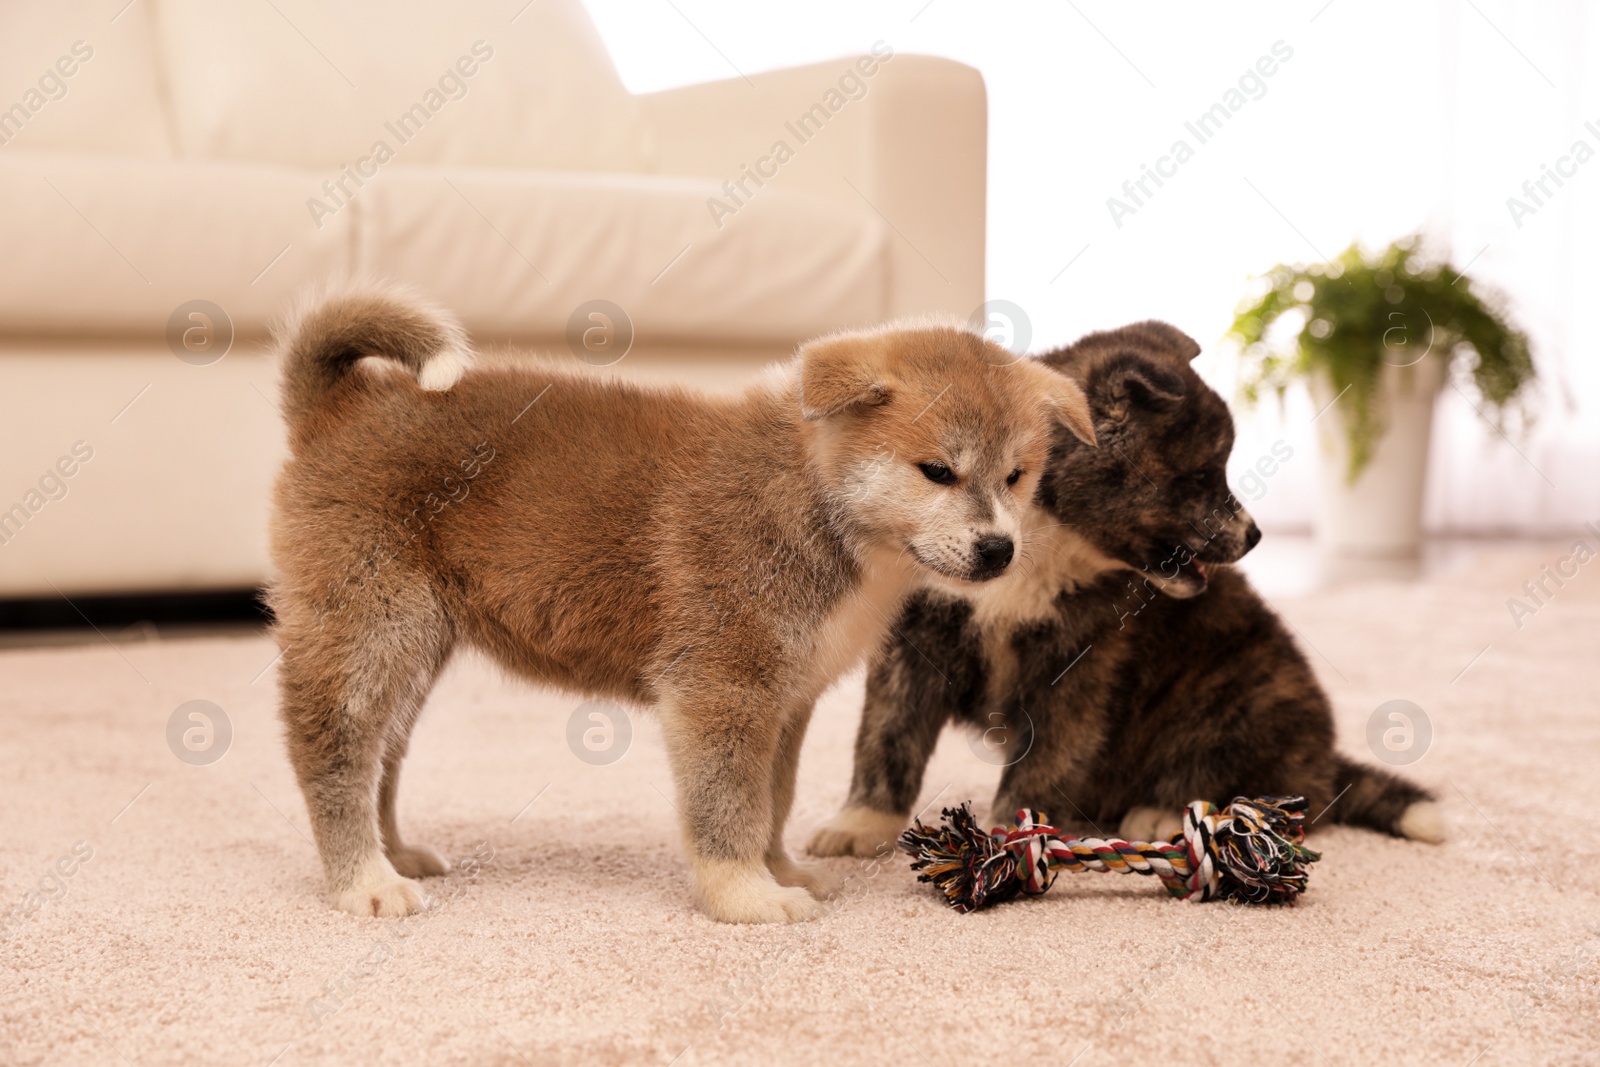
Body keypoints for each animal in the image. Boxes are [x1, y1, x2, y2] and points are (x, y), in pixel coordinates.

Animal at [272, 292, 1100, 927]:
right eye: (937, 471)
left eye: (1017, 475)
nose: (998, 549)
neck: (814, 499)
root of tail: (340, 409)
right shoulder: (722, 688)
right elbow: (728, 806)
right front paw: (746, 895)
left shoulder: (785, 699)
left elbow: (772, 798)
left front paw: (779, 870)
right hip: (371, 628)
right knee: (336, 754)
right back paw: (364, 879)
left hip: (413, 648)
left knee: (384, 755)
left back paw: (395, 853)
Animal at [806, 319, 1446, 857]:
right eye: (1201, 474)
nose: (1255, 536)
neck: (1043, 535)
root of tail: (1327, 761)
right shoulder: (914, 641)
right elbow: (886, 740)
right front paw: (861, 824)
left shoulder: (1081, 669)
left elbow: (1040, 766)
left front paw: (1014, 840)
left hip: (1243, 692)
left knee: (1260, 789)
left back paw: (1162, 811)